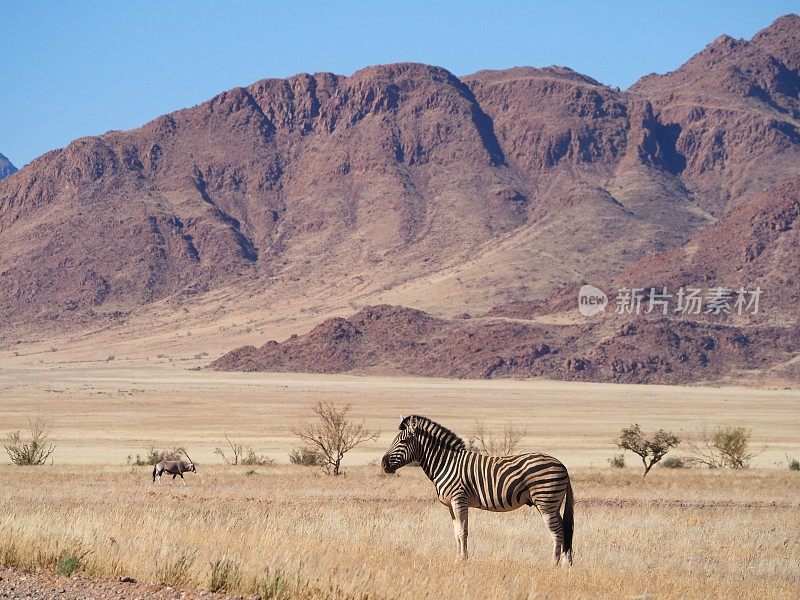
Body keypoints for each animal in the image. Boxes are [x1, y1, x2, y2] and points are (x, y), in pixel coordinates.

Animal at [382, 414, 576, 564]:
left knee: (557, 532)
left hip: (546, 502)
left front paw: (463, 560)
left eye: (403, 441)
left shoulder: (459, 500)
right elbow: (456, 532)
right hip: (553, 504)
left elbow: (462, 532)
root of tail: (562, 465)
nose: (383, 464)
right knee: (564, 530)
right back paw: (565, 563)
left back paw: (554, 564)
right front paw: (458, 558)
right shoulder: (451, 505)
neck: (446, 463)